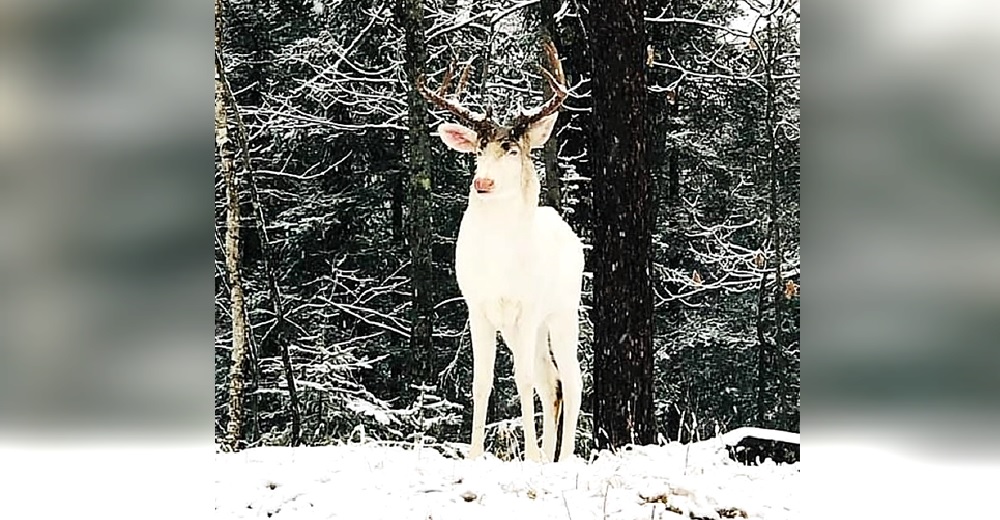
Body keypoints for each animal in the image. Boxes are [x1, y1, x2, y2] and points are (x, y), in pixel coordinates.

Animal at [416, 41, 584, 464]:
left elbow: (520, 380)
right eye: (478, 150)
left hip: (562, 311)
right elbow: (482, 381)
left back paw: (561, 458)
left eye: (511, 150)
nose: (483, 182)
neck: (499, 266)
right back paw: (548, 457)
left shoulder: (527, 306)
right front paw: (475, 456)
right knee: (551, 381)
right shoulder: (478, 307)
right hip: (524, 327)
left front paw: (530, 457)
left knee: (571, 379)